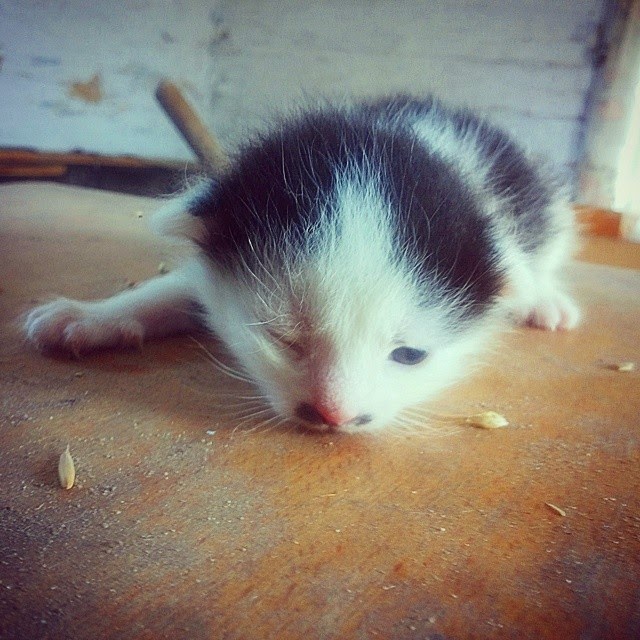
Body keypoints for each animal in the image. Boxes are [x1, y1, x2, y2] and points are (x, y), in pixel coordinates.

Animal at [24, 95, 580, 433]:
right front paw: (92, 317)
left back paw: (546, 299)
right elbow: (176, 289)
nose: (335, 416)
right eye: (282, 338)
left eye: (409, 355)